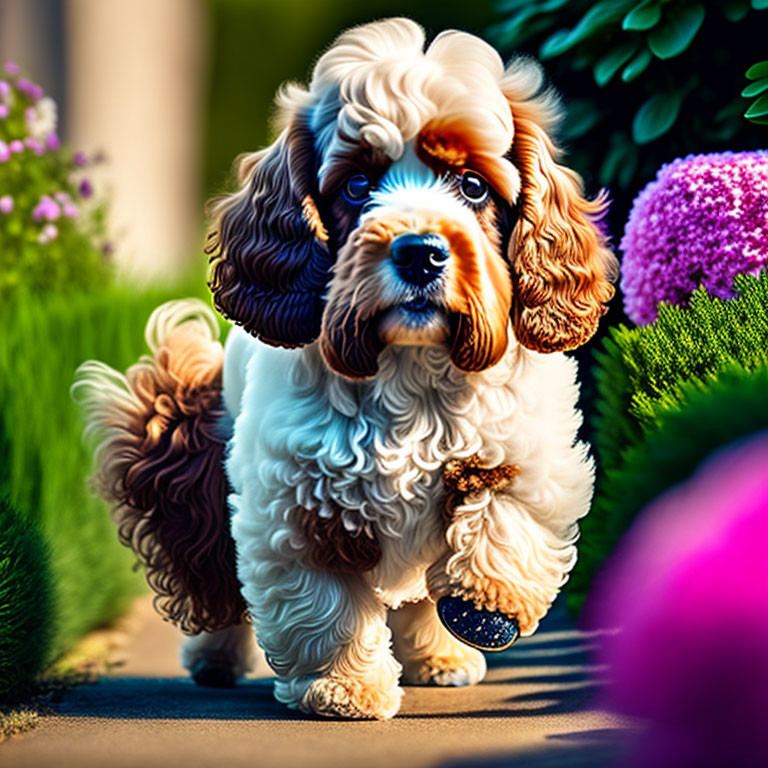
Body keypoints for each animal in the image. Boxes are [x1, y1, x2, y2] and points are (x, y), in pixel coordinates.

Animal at [73, 18, 616, 720]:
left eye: (472, 186)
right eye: (358, 186)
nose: (420, 252)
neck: (410, 367)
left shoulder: (528, 448)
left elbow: (505, 518)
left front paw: (483, 608)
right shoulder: (293, 501)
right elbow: (323, 604)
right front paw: (343, 689)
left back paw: (441, 656)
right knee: (216, 579)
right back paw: (215, 658)